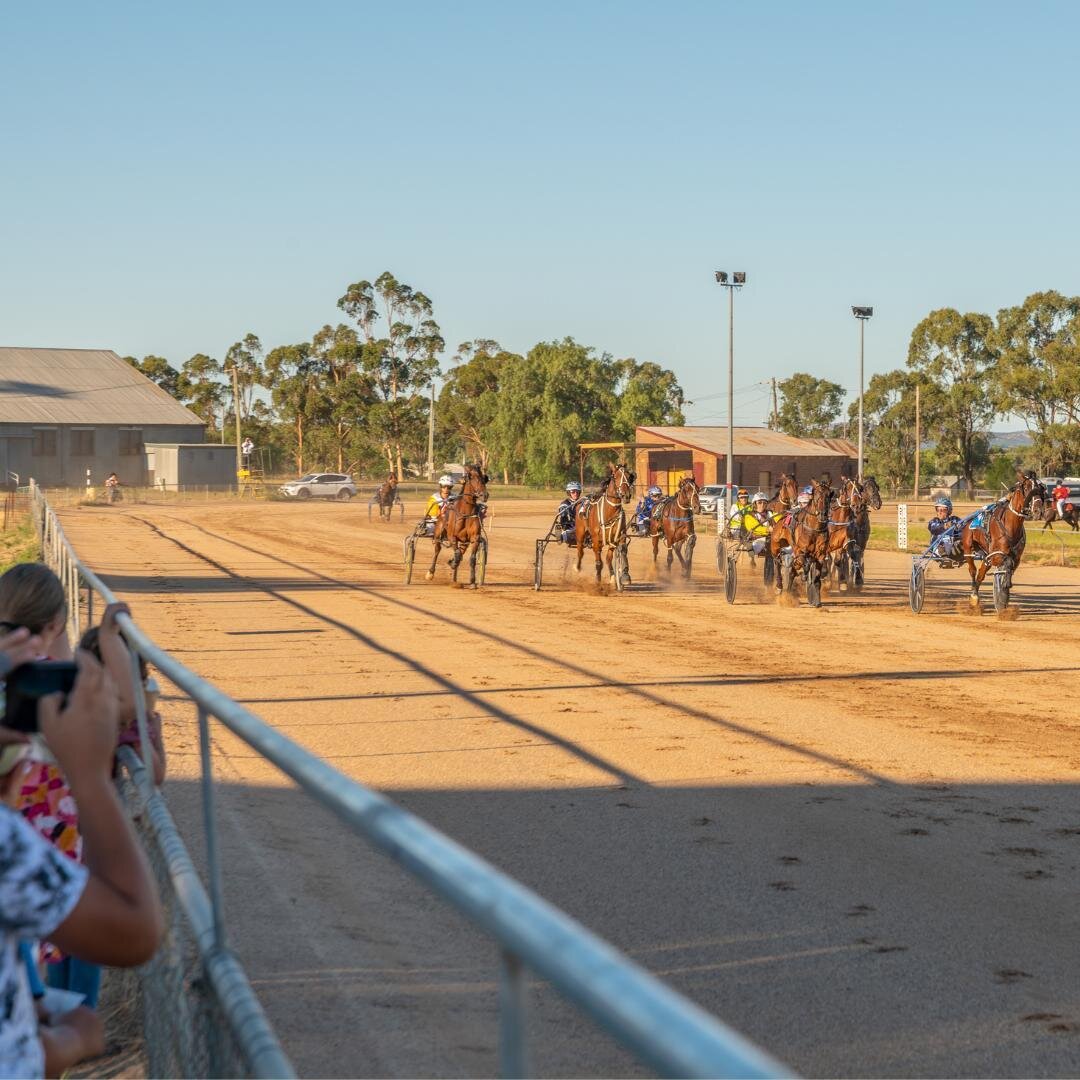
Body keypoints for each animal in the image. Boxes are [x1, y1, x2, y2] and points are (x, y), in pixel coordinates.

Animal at [963, 473, 1045, 609]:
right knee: (972, 570)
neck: (1010, 525)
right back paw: (974, 596)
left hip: (986, 555)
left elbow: (1010, 566)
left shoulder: (1016, 558)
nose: (1038, 511)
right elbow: (1007, 562)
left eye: (1041, 488)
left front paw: (1003, 593)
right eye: (1027, 487)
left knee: (981, 573)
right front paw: (1004, 588)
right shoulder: (996, 555)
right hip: (968, 547)